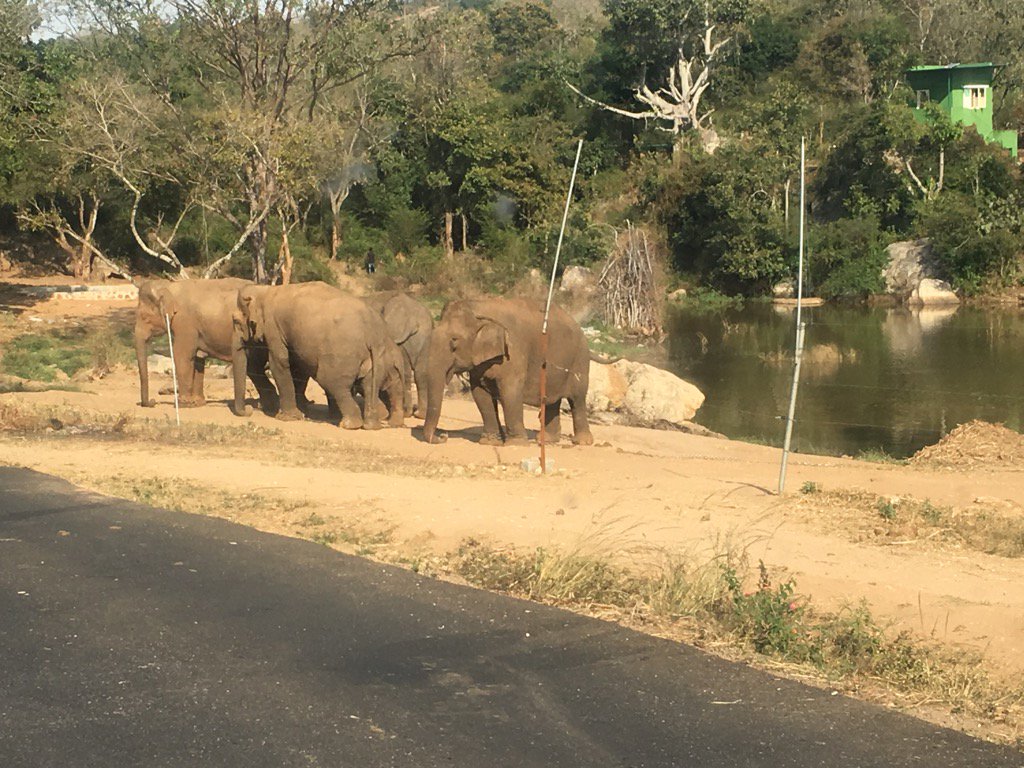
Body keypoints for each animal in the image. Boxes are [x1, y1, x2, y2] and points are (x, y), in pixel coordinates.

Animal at [134, 274, 276, 411]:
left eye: (144, 317)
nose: (152, 402)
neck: (170, 286)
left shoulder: (185, 322)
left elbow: (182, 355)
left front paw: (184, 404)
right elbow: (198, 358)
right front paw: (197, 403)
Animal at [232, 282, 403, 430]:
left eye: (236, 321)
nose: (249, 409)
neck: (265, 290)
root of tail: (373, 333)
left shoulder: (273, 327)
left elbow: (279, 363)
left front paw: (287, 418)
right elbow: (297, 367)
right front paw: (300, 413)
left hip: (341, 356)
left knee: (332, 382)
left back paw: (348, 424)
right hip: (378, 359)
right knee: (368, 386)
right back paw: (371, 425)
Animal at [366, 290, 434, 421]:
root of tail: (413, 321)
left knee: (406, 373)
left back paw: (407, 413)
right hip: (426, 338)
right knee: (420, 373)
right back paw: (419, 415)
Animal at [421, 299, 598, 448]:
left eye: (454, 341)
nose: (443, 436)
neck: (480, 307)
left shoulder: (513, 351)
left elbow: (510, 392)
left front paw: (516, 444)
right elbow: (480, 394)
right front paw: (490, 442)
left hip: (580, 359)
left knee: (577, 398)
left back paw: (582, 441)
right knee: (551, 400)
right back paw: (546, 440)